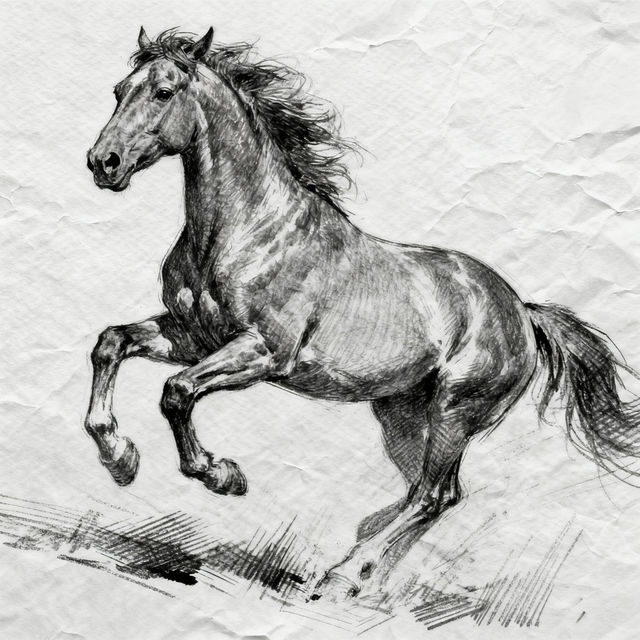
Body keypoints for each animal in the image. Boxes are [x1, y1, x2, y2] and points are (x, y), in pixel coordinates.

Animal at [85, 27, 640, 601]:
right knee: (433, 493)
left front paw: (220, 474)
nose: (103, 162)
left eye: (164, 92)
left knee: (431, 495)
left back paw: (343, 574)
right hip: (402, 414)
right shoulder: (193, 336)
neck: (247, 231)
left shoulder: (263, 352)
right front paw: (118, 456)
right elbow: (112, 343)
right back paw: (364, 576)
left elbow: (177, 391)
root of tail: (522, 314)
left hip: (455, 412)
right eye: (119, 90)